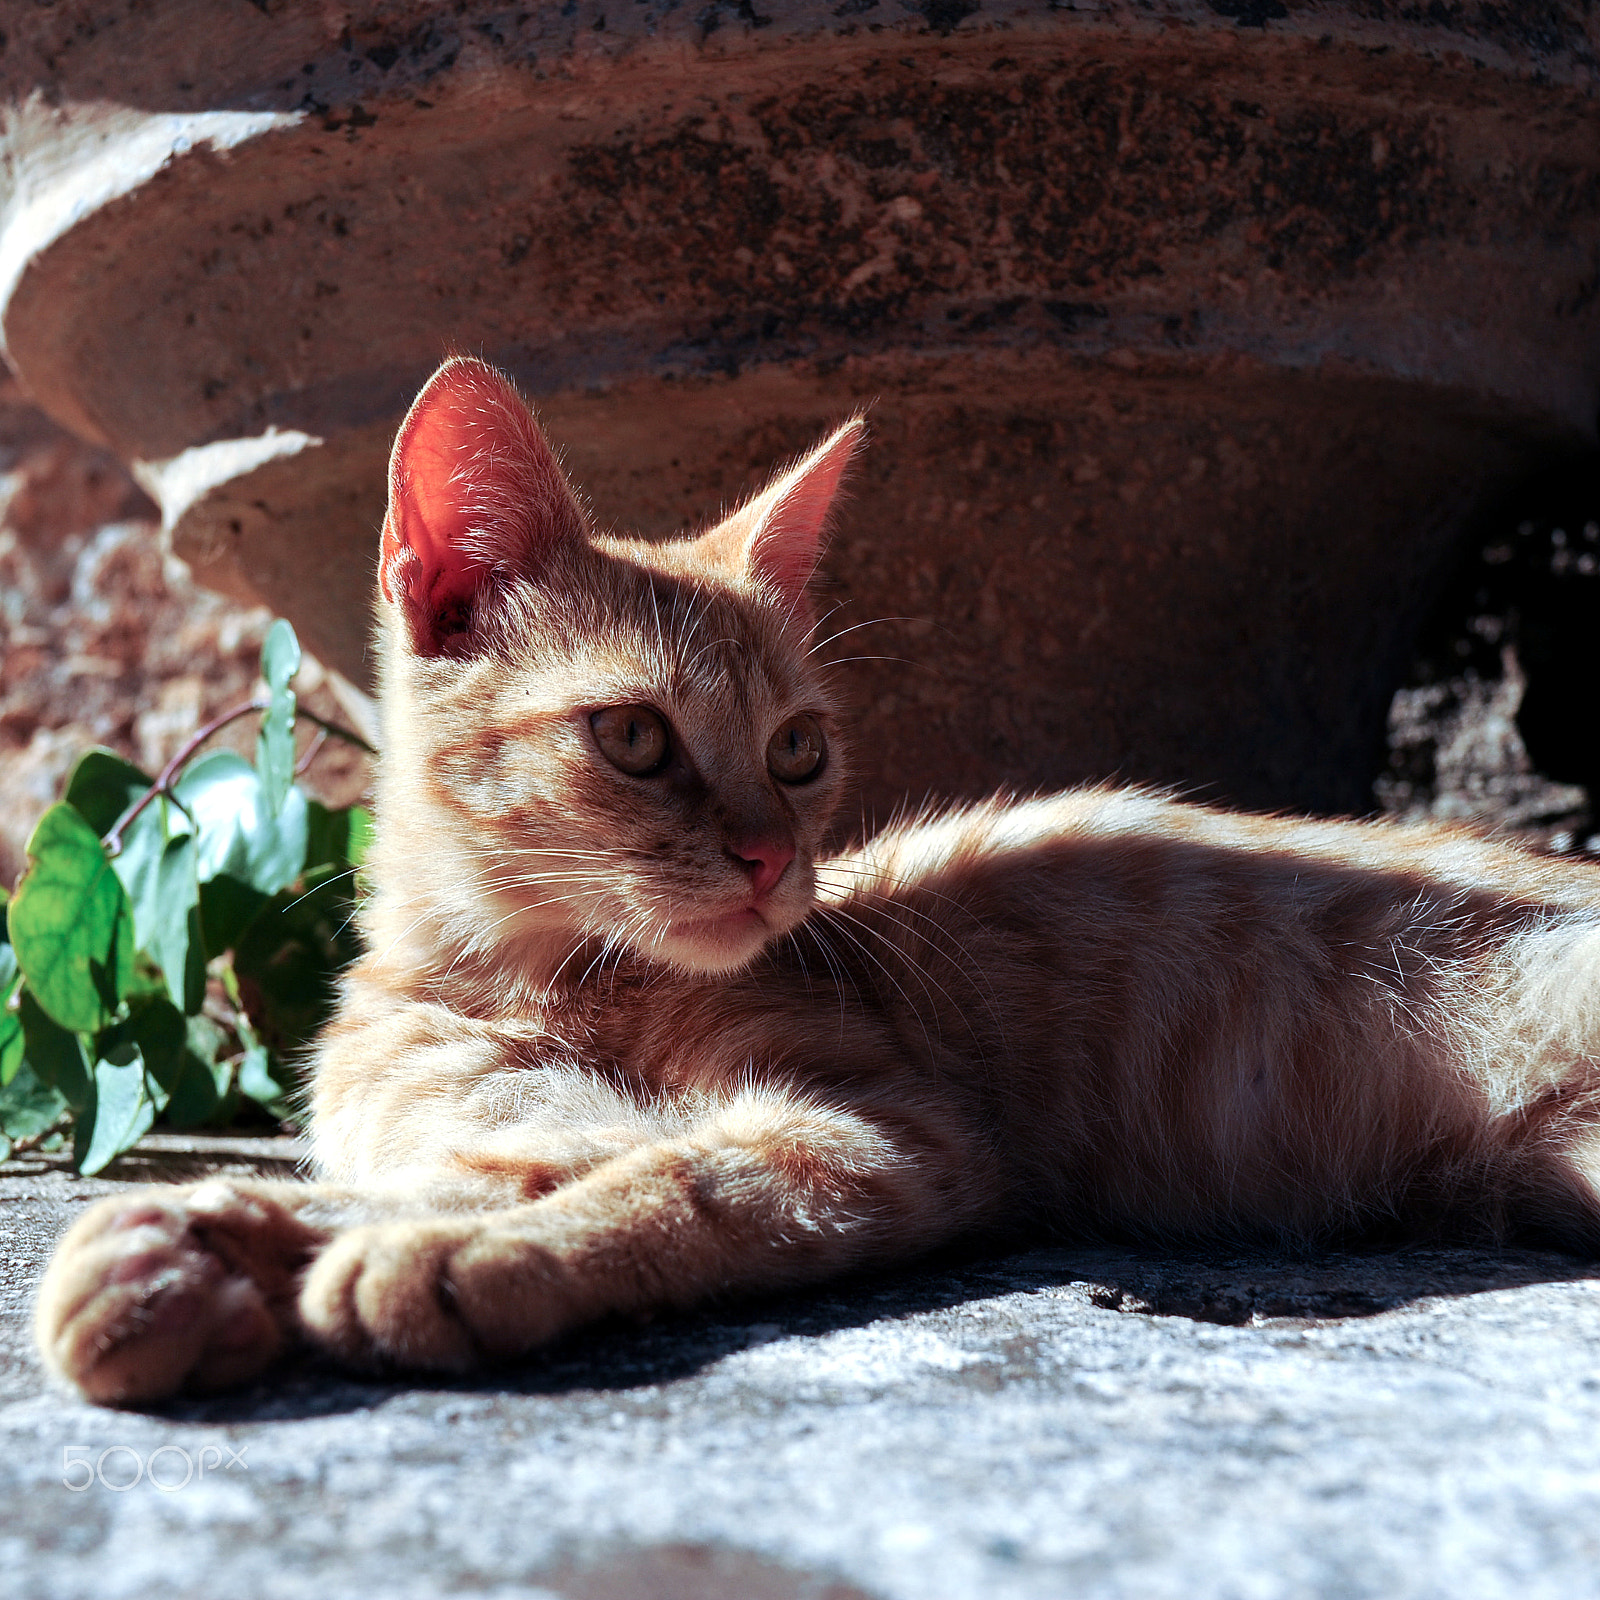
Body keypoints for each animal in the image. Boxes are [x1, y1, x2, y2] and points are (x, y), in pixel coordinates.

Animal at [31, 360, 1600, 1401]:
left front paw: (446, 1264)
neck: (521, 984)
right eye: (635, 736)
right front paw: (190, 1253)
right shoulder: (500, 1126)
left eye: (797, 750)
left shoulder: (879, 1134)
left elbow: (664, 1182)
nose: (775, 858)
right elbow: (441, 1169)